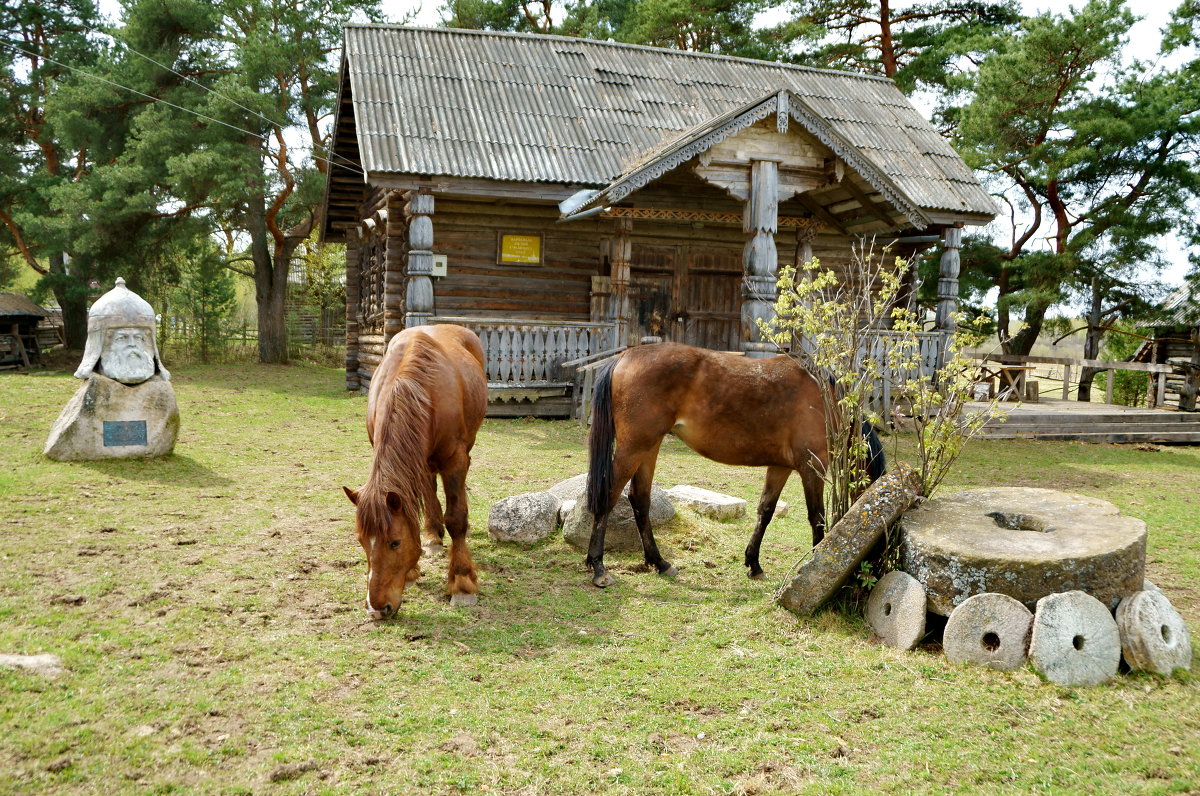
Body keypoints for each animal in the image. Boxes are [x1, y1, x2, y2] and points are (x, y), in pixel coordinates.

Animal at [343, 324, 487, 614]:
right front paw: (413, 568)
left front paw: (462, 581)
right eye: (361, 541)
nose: (377, 609)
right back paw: (432, 535)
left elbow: (457, 519)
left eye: (394, 542)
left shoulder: (455, 460)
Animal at [585, 338, 888, 588]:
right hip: (635, 447)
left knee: (640, 499)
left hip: (649, 447)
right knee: (609, 495)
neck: (825, 398)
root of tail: (624, 357)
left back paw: (660, 563)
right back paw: (599, 568)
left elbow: (766, 510)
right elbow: (817, 518)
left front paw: (754, 564)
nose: (873, 572)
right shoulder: (812, 467)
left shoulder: (781, 467)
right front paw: (815, 565)